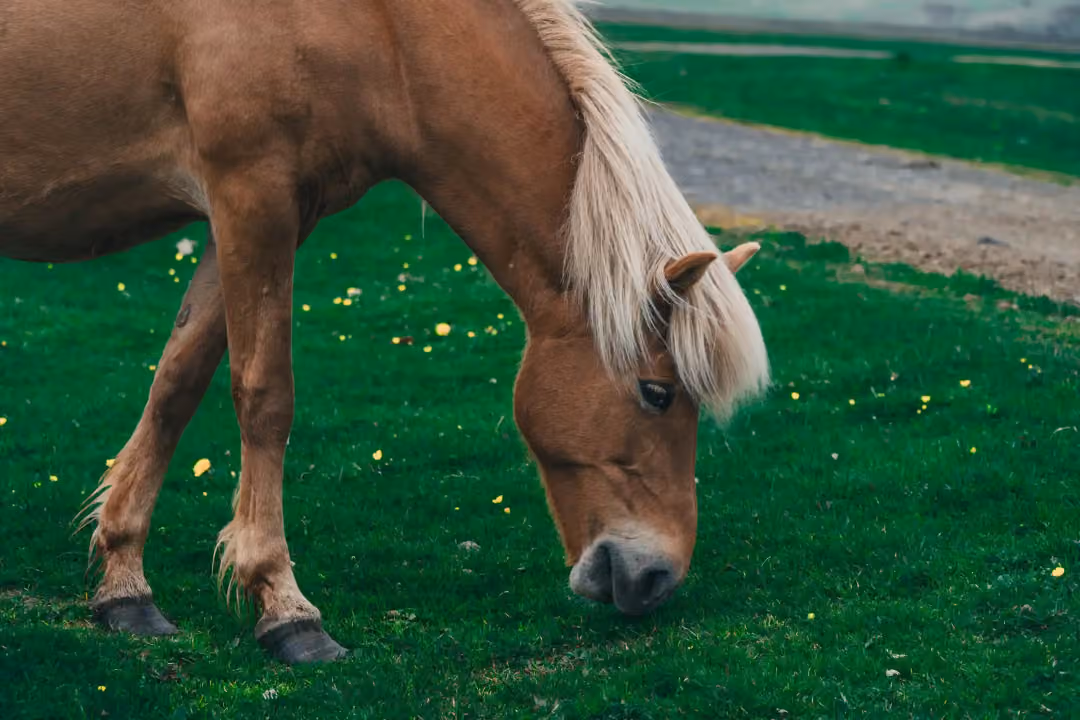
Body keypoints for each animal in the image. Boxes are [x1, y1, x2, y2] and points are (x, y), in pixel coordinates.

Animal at [0, 0, 769, 663]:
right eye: (656, 393)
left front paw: (124, 583)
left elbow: (177, 385)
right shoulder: (253, 195)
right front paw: (284, 607)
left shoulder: (259, 217)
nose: (659, 578)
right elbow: (265, 396)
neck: (380, 25)